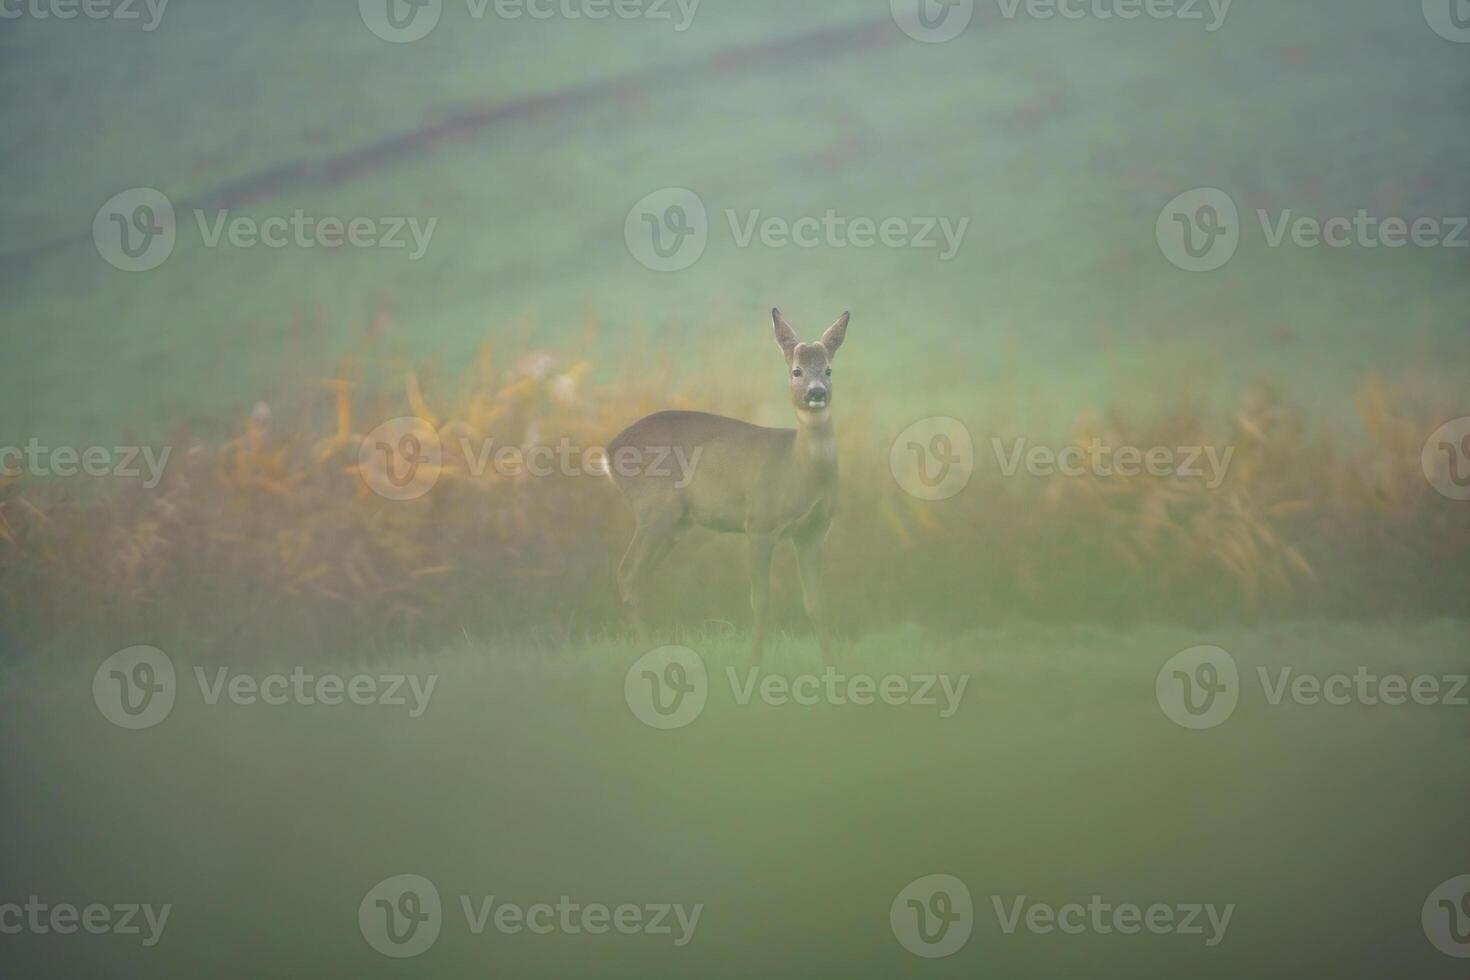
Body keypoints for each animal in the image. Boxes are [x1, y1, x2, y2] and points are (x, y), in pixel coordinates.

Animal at [605, 310, 852, 664]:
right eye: (796, 371)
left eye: (829, 369)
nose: (816, 392)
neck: (796, 467)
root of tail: (608, 451)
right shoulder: (759, 522)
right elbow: (760, 601)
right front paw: (755, 662)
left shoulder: (814, 530)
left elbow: (817, 603)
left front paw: (831, 665)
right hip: (655, 509)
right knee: (627, 575)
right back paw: (648, 651)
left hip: (676, 524)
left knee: (638, 577)